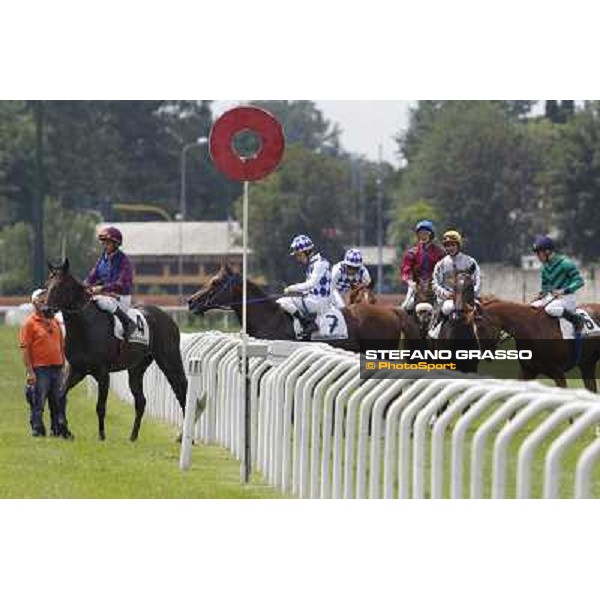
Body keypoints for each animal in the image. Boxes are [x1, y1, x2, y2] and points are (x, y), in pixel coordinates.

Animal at [45, 258, 193, 440]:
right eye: (47, 285)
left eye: (60, 285)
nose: (46, 310)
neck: (84, 326)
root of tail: (168, 318)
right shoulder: (77, 370)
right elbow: (60, 396)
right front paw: (65, 430)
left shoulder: (103, 374)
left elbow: (100, 406)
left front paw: (101, 436)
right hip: (136, 368)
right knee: (141, 400)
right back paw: (133, 437)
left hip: (169, 360)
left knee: (182, 390)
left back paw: (185, 437)